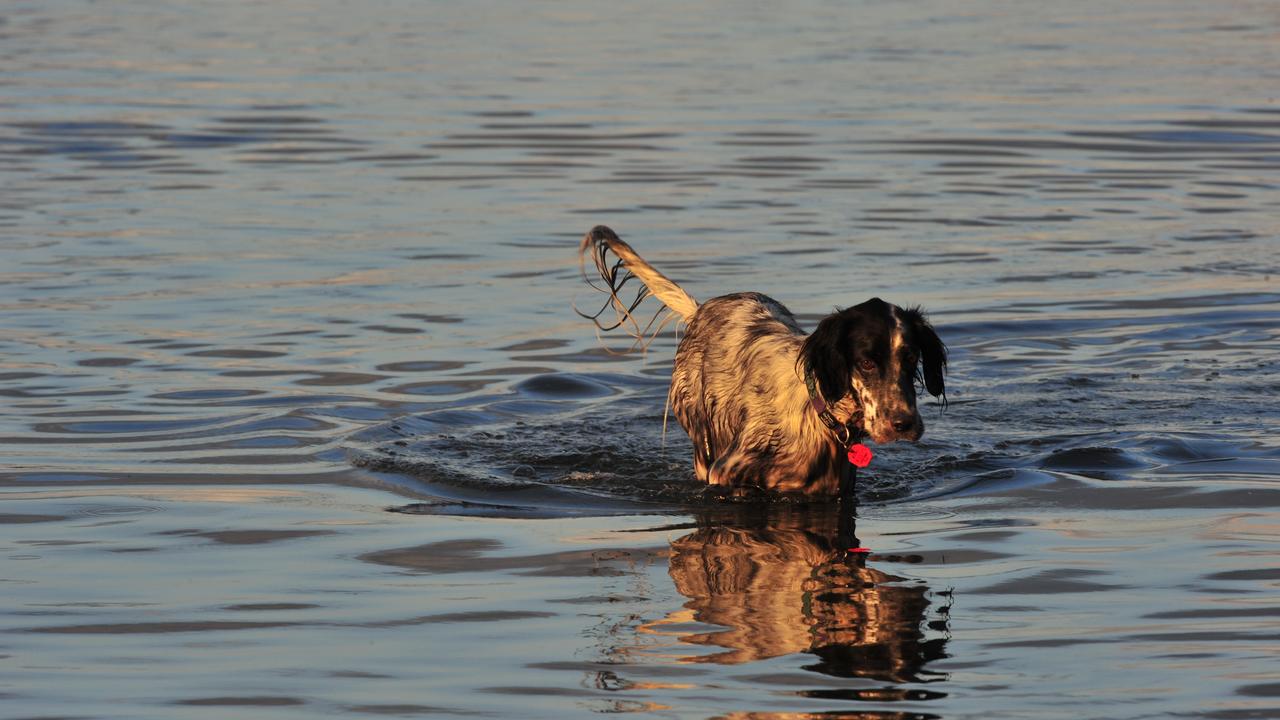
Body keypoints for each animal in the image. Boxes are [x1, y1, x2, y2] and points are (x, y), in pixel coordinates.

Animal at [576, 224, 947, 491]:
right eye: (867, 362)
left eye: (910, 358)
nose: (903, 424)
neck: (815, 415)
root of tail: (701, 308)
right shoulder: (725, 473)